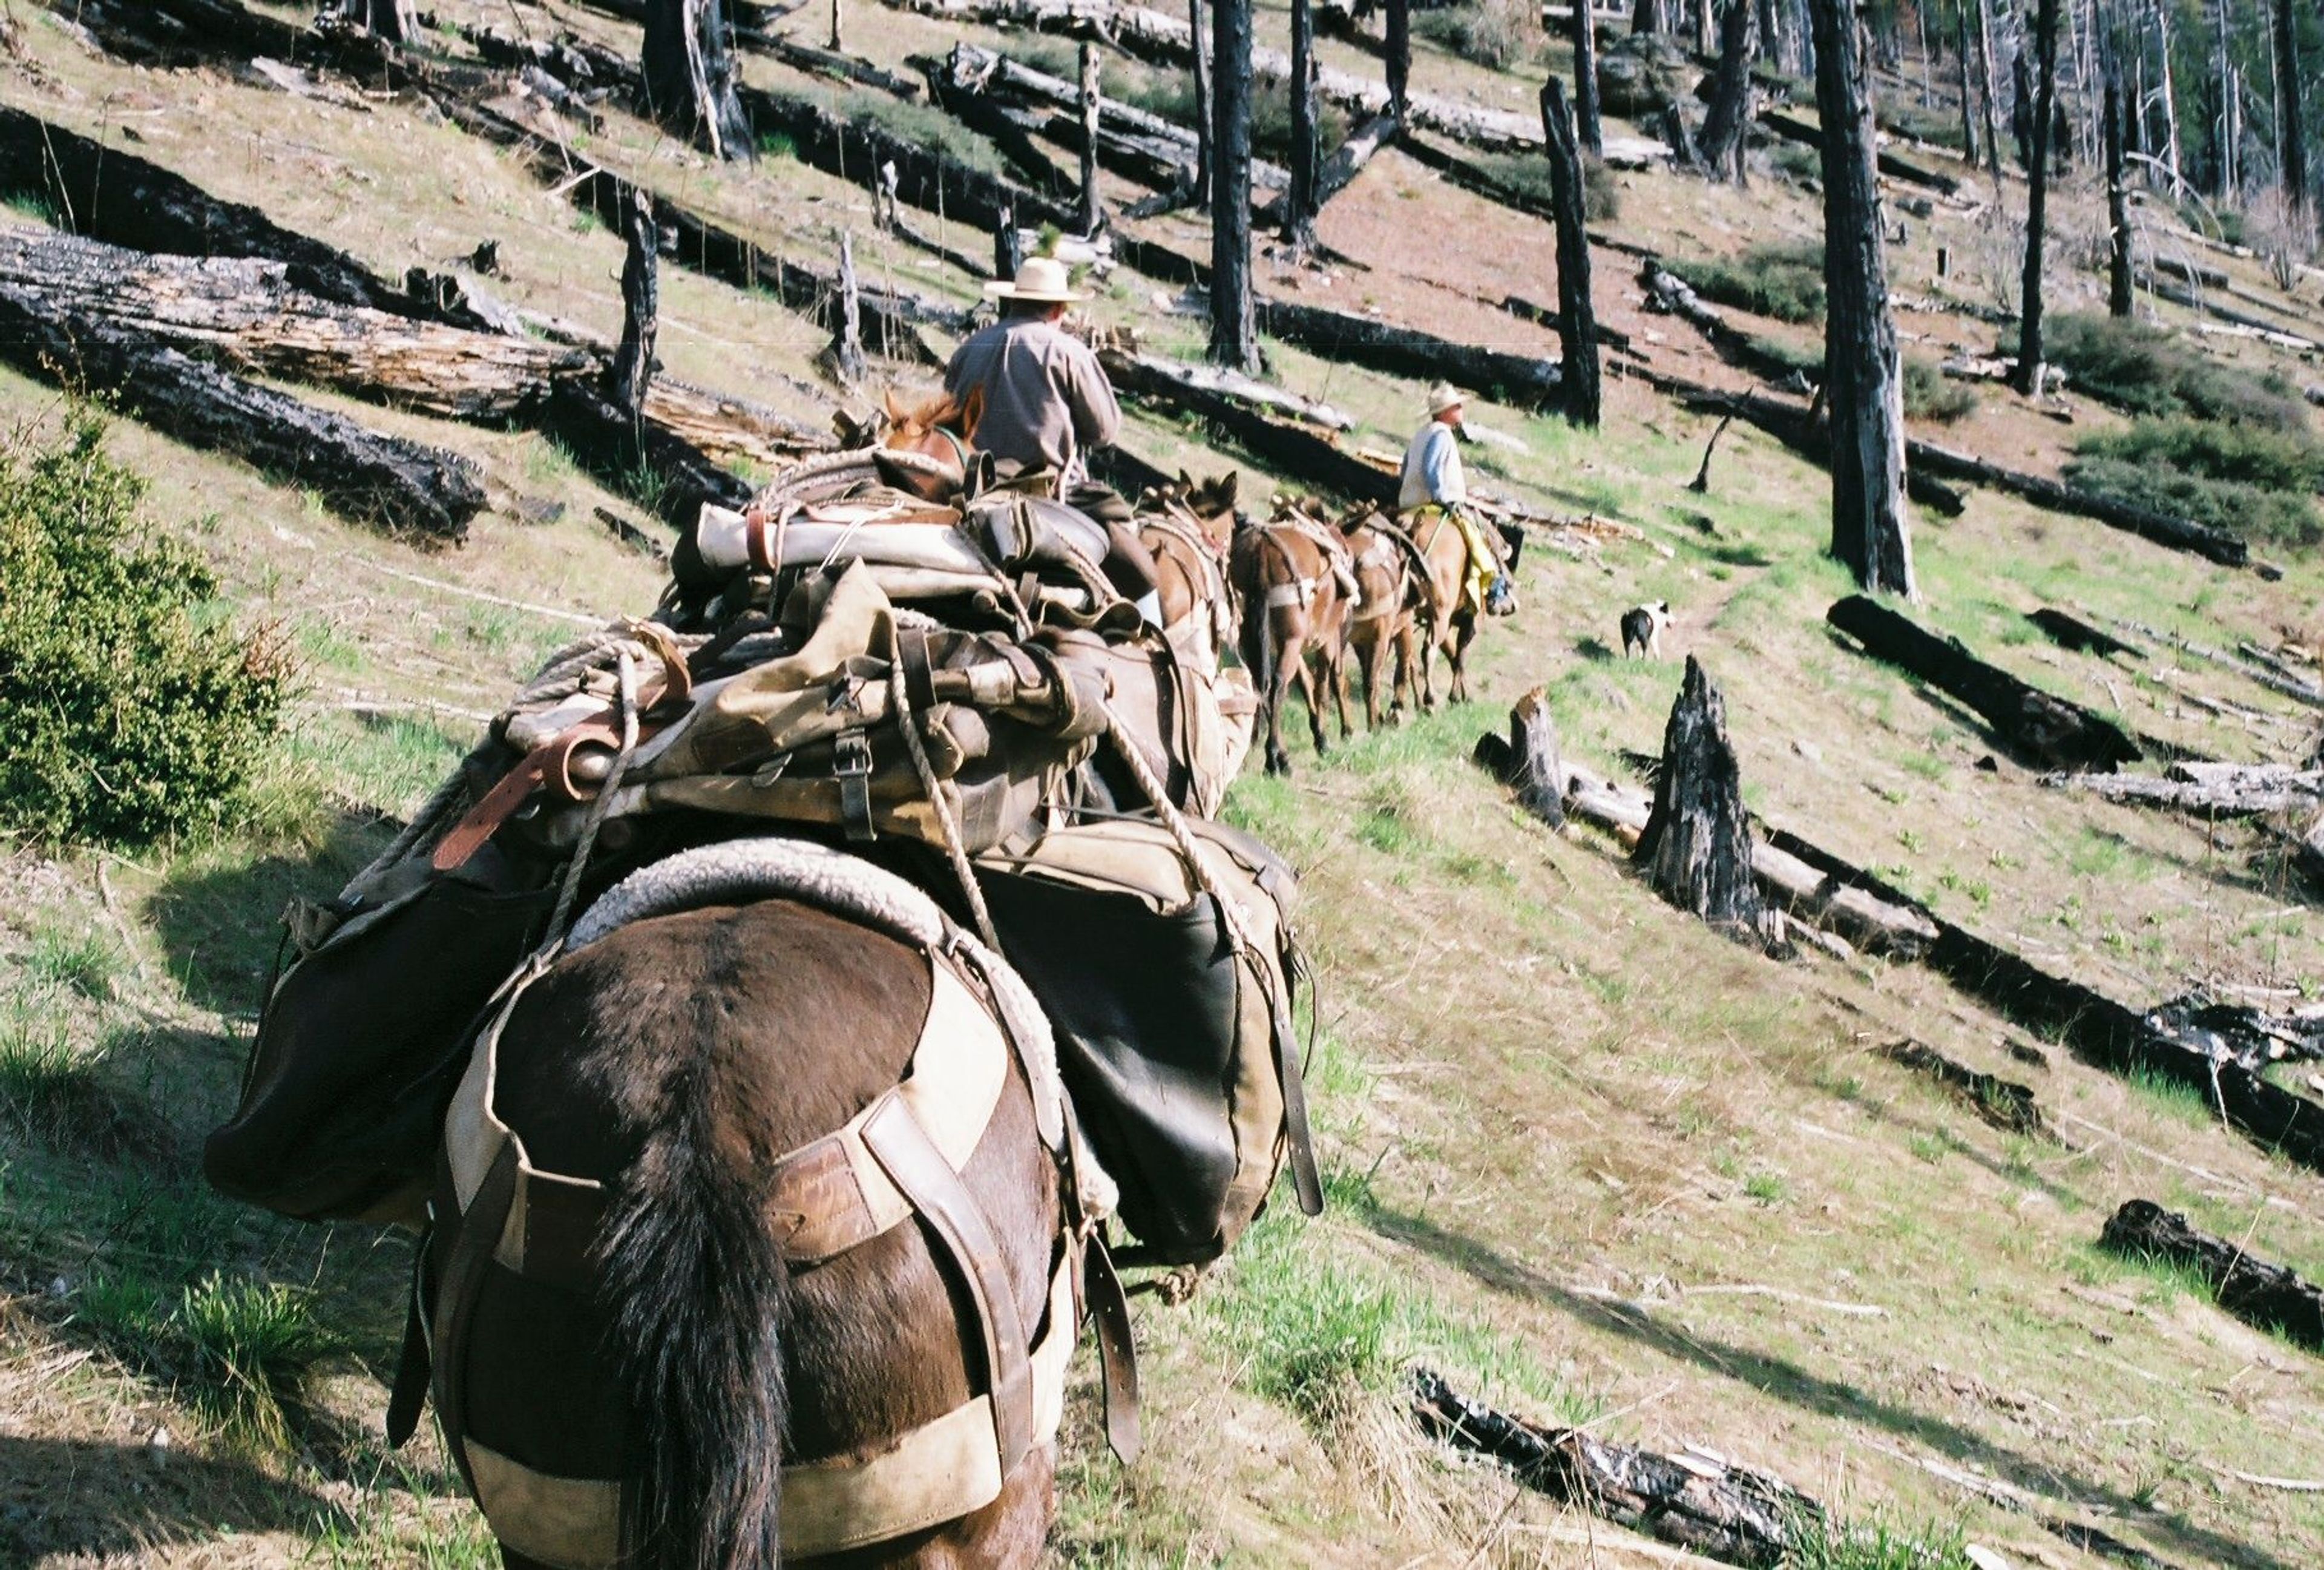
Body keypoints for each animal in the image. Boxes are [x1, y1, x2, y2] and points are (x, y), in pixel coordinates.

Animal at [1227, 499, 1357, 775]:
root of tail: (1261, 551)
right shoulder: (1326, 639)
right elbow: (1329, 681)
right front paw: (1335, 734)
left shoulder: (1289, 641)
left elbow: (1305, 682)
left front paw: (1320, 735)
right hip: (1293, 638)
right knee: (1276, 685)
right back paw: (1274, 757)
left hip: (1257, 635)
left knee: (1260, 682)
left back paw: (1263, 751)